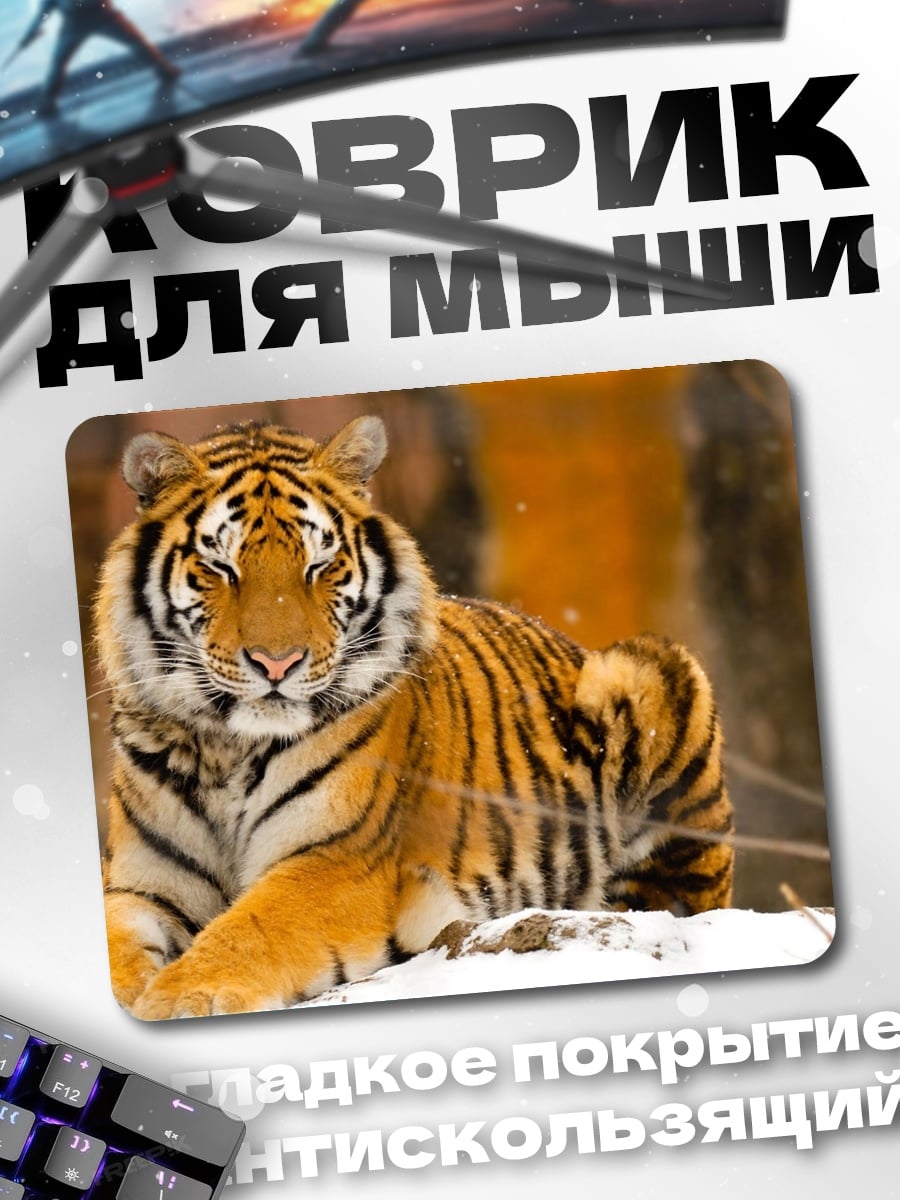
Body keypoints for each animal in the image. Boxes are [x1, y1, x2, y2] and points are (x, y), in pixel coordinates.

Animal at [95, 414, 734, 1019]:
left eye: (319, 566)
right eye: (221, 568)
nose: (278, 663)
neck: (225, 748)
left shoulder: (336, 861)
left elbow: (251, 929)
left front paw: (183, 997)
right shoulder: (141, 884)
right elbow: (112, 940)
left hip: (652, 675)